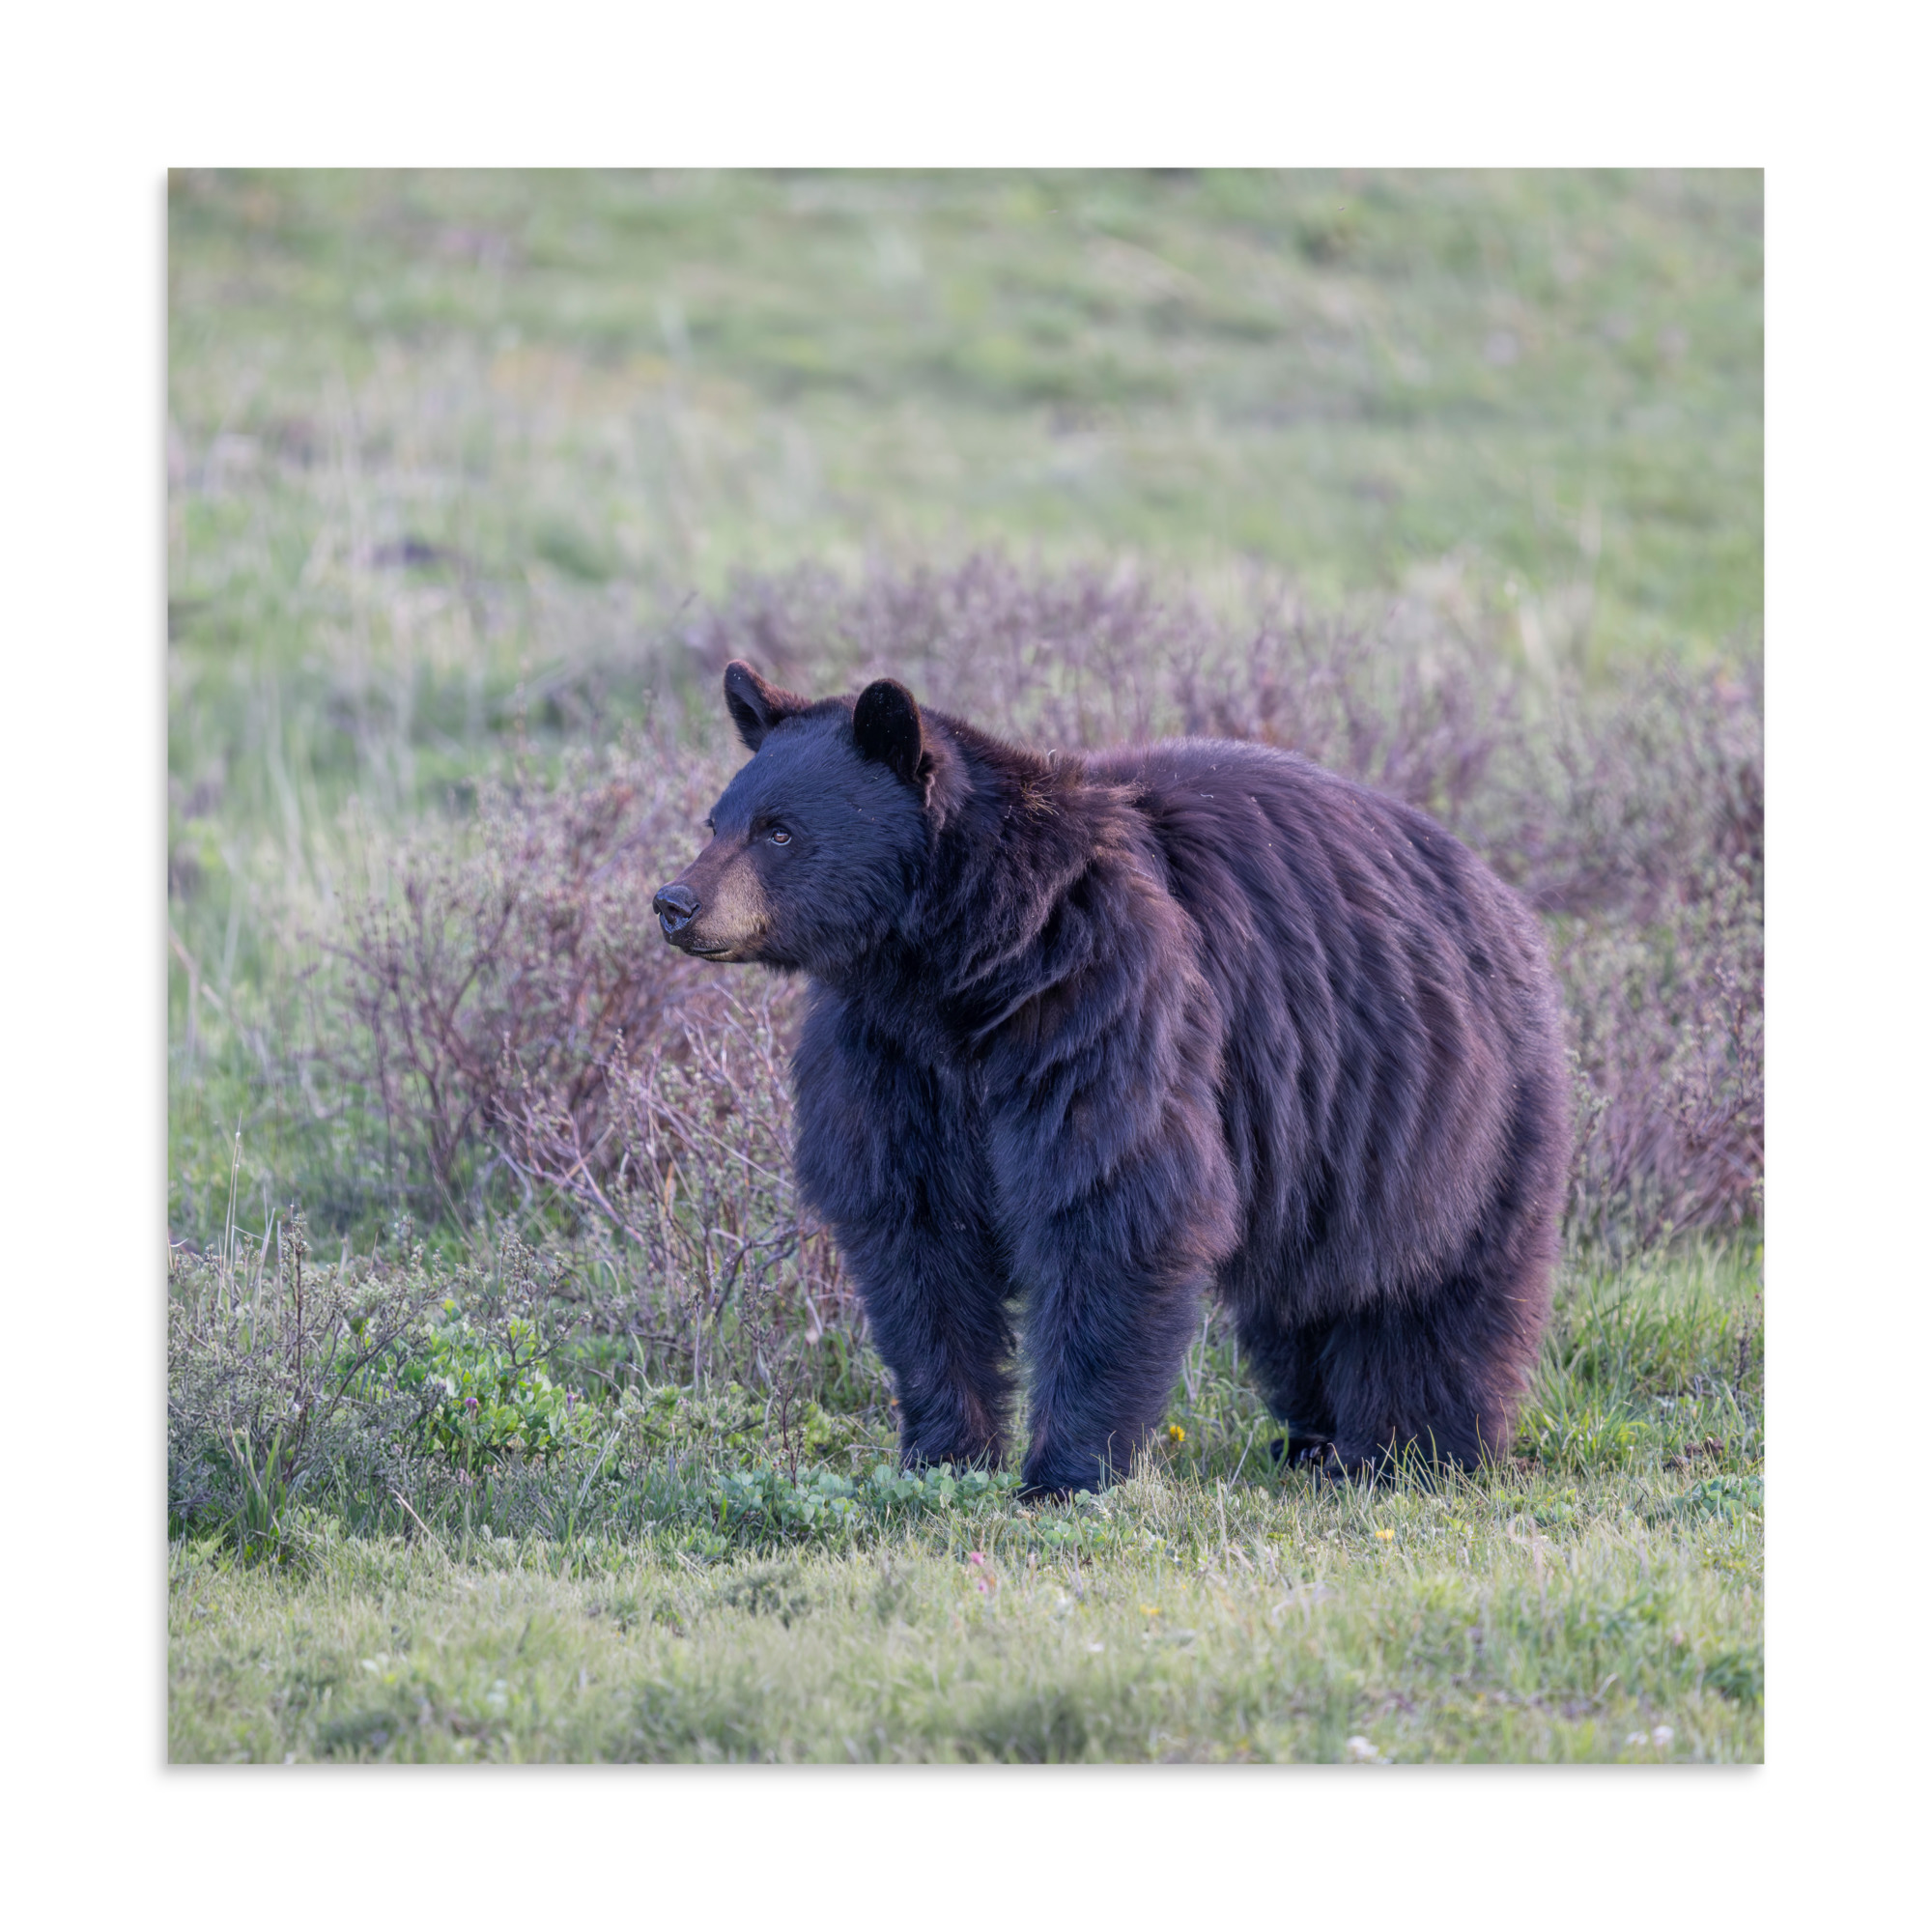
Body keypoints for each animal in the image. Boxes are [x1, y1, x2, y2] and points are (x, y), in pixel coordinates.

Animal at [653, 659, 1571, 1497]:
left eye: (779, 831)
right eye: (716, 819)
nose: (675, 902)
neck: (960, 967)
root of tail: (1501, 895)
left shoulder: (1102, 1003)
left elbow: (1112, 1203)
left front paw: (1065, 1472)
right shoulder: (889, 1058)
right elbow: (915, 1234)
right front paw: (944, 1453)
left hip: (1447, 1107)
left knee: (1437, 1287)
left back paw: (1415, 1449)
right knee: (1305, 1297)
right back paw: (1314, 1439)